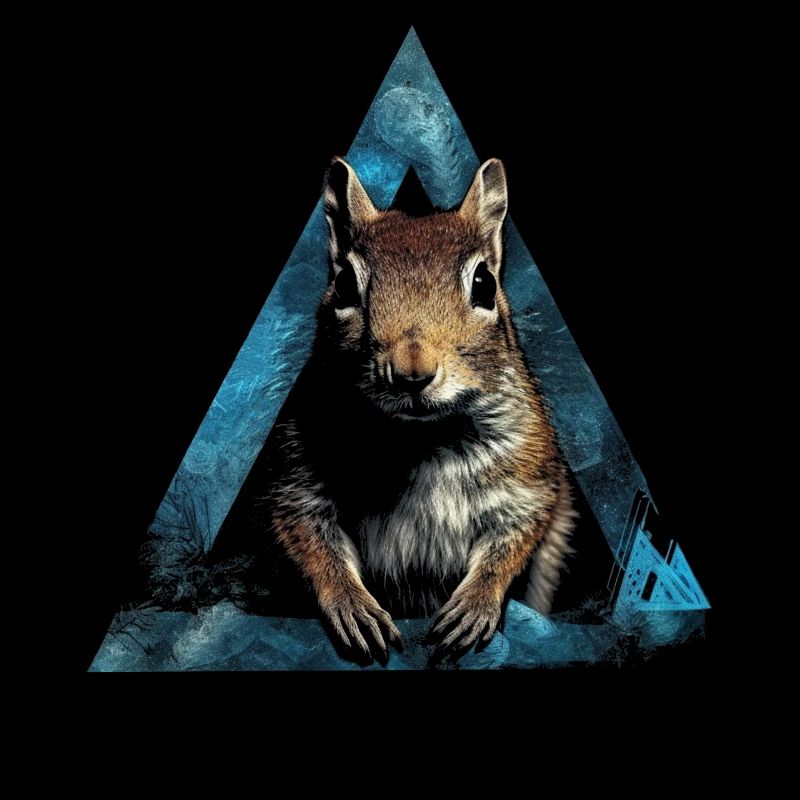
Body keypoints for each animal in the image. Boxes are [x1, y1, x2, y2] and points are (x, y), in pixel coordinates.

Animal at [211, 157, 576, 660]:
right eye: (344, 284)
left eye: (484, 284)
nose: (411, 372)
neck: (421, 439)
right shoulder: (296, 480)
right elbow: (312, 541)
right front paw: (353, 608)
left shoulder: (528, 477)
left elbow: (511, 541)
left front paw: (475, 604)